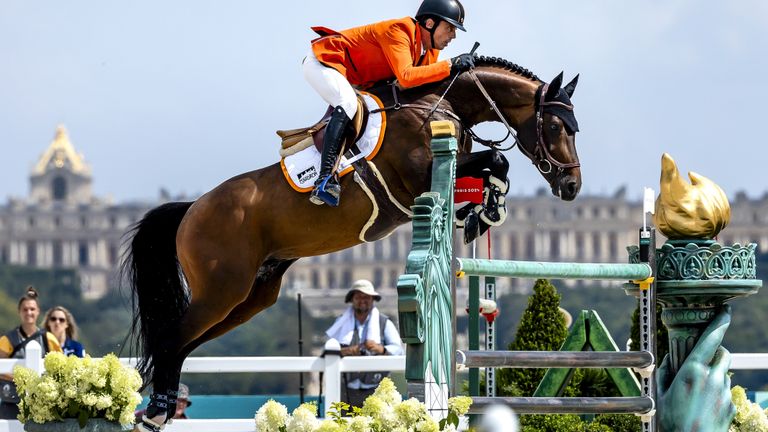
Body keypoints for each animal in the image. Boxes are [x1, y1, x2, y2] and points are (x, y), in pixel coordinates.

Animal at [123, 54, 584, 426]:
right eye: (556, 125)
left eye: (574, 128)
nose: (571, 186)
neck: (436, 106)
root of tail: (192, 209)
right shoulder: (419, 179)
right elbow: (495, 159)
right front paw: (482, 211)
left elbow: (493, 165)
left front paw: (482, 213)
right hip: (222, 291)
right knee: (171, 339)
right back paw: (157, 412)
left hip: (250, 297)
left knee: (181, 344)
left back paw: (160, 409)